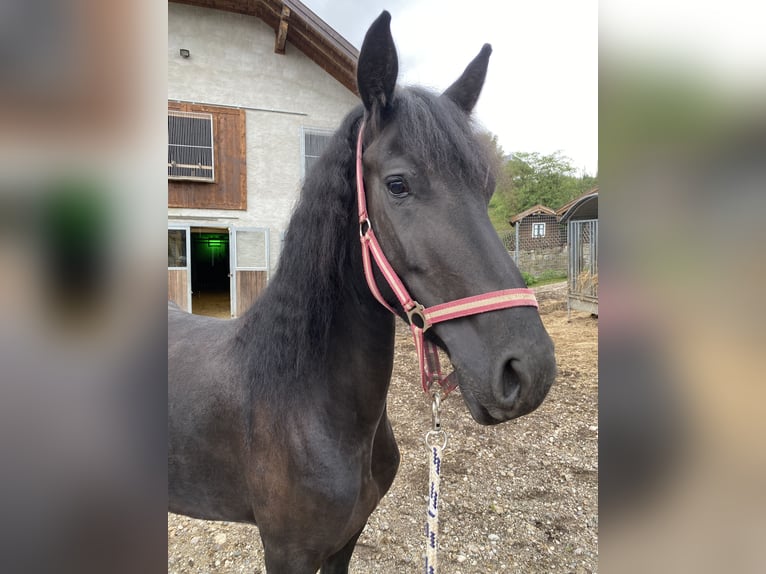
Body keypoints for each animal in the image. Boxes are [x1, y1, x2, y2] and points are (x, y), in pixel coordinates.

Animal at [168, 11, 556, 572]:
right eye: (397, 185)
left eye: (485, 189)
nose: (529, 370)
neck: (304, 404)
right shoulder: (286, 552)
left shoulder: (346, 540)